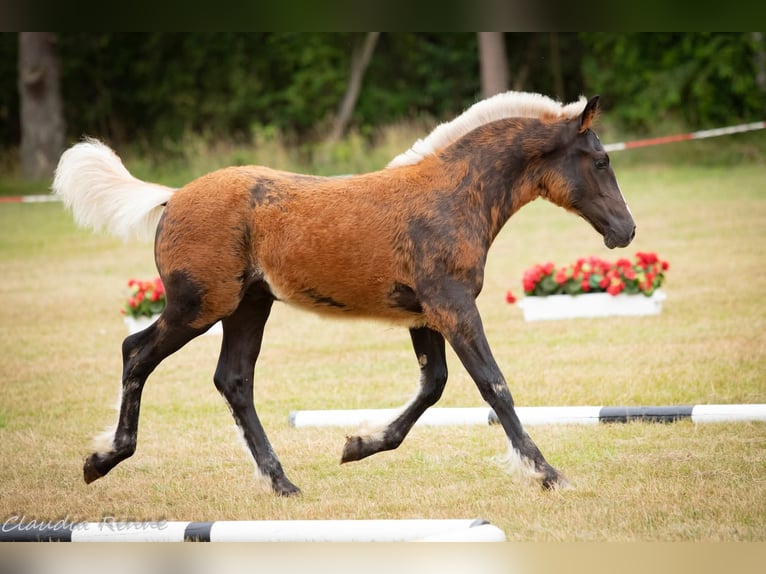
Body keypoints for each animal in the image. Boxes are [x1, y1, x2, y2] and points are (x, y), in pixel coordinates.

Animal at [53, 91, 635, 496]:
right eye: (601, 161)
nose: (626, 231)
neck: (451, 197)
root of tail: (172, 197)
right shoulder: (453, 306)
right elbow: (494, 386)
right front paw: (546, 473)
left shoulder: (424, 315)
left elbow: (434, 386)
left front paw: (359, 444)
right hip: (199, 306)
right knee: (137, 352)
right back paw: (103, 459)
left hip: (248, 307)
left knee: (234, 380)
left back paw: (281, 482)